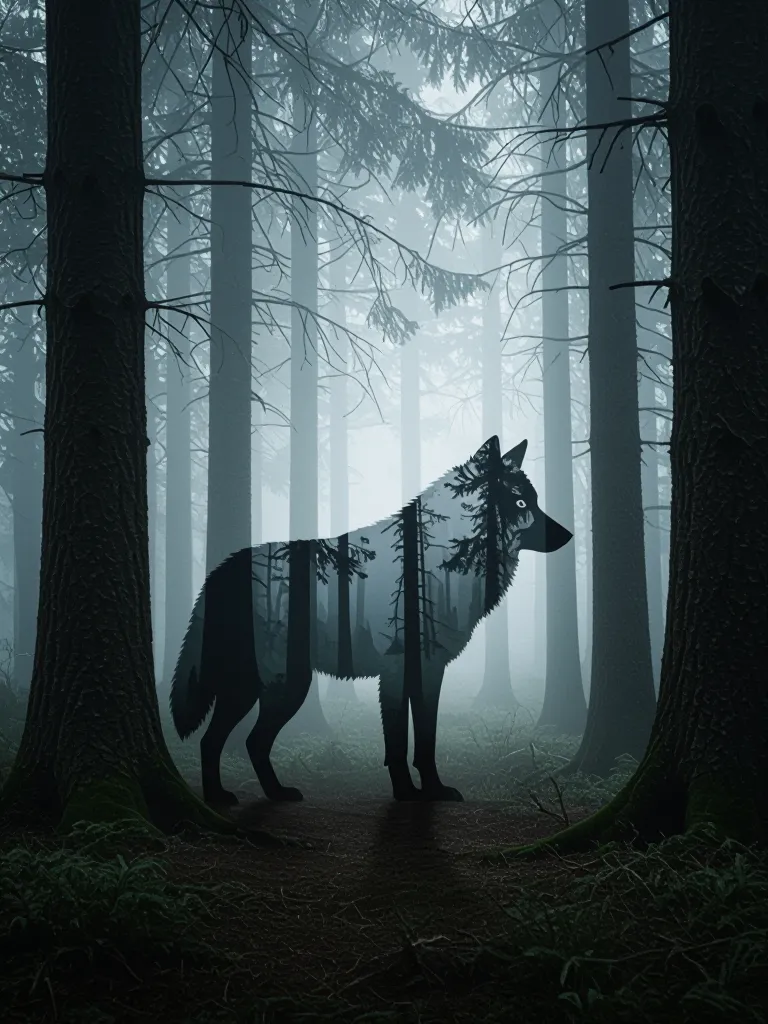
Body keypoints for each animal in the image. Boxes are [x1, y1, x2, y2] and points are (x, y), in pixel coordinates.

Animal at [170, 435, 572, 805]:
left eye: (534, 501)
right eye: (521, 503)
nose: (569, 535)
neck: (437, 563)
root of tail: (220, 570)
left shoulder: (427, 671)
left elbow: (425, 740)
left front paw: (433, 790)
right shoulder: (398, 671)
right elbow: (397, 742)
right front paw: (406, 794)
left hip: (271, 686)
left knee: (238, 742)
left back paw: (270, 794)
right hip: (280, 686)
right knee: (225, 740)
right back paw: (222, 797)